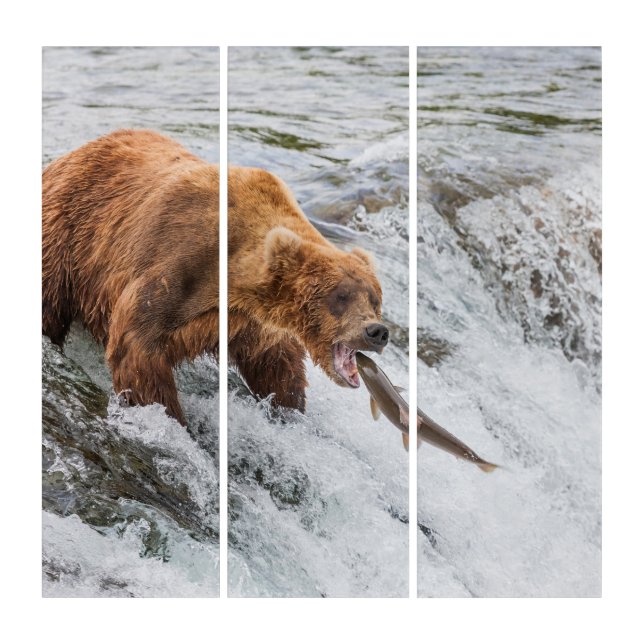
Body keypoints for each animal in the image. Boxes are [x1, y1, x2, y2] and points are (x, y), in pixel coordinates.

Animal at [42, 129, 388, 425]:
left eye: (375, 299)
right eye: (340, 296)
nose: (377, 331)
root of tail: (68, 156)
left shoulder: (250, 321)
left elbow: (276, 364)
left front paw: (289, 409)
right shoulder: (177, 264)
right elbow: (137, 348)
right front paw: (172, 418)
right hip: (67, 239)